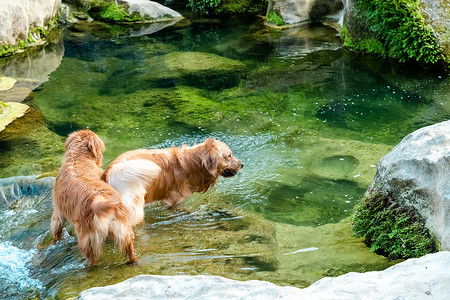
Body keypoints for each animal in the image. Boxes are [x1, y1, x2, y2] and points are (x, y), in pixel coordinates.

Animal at [51, 130, 137, 266]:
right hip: (124, 231)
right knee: (130, 250)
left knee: (92, 259)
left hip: (88, 239)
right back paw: (132, 261)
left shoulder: (58, 212)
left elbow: (56, 231)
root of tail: (101, 200)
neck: (78, 160)